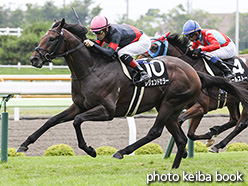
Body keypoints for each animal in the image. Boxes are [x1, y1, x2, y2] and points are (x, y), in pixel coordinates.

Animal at [17, 19, 248, 169]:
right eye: (44, 36)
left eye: (52, 38)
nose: (34, 59)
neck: (92, 68)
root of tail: (193, 72)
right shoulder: (79, 105)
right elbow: (51, 121)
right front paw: (23, 145)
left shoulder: (107, 111)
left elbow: (77, 121)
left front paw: (90, 150)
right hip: (172, 107)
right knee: (184, 136)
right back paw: (176, 165)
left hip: (170, 104)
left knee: (156, 132)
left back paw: (122, 152)